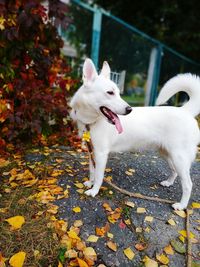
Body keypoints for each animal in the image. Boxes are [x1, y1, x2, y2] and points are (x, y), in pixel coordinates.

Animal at [70, 58, 200, 211]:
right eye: (110, 92)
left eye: (118, 93)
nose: (129, 109)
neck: (92, 122)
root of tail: (185, 111)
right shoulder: (92, 152)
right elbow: (92, 171)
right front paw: (90, 183)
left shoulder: (101, 154)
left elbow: (99, 176)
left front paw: (94, 191)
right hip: (167, 154)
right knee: (174, 171)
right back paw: (168, 183)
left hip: (179, 158)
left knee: (188, 184)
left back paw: (181, 205)